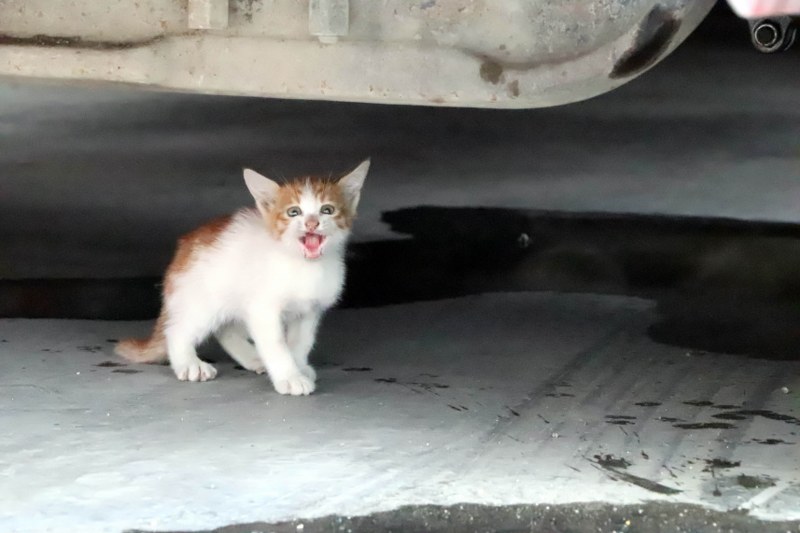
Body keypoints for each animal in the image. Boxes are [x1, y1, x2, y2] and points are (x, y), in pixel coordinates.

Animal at [114, 159, 370, 394]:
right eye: (293, 212)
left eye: (327, 210)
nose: (311, 223)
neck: (304, 266)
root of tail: (182, 252)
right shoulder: (263, 309)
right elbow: (276, 344)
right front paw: (289, 377)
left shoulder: (309, 310)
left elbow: (301, 342)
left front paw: (298, 365)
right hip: (203, 299)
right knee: (177, 329)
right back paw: (189, 363)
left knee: (225, 329)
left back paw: (253, 358)